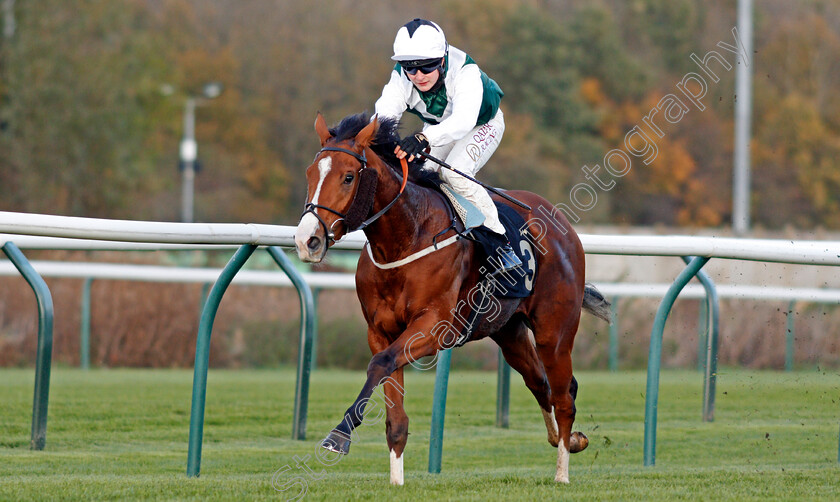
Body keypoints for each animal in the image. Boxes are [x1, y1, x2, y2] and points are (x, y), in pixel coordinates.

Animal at [296, 112, 612, 484]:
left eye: (347, 177)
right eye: (310, 174)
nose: (307, 241)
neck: (408, 234)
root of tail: (563, 224)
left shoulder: (434, 326)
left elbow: (381, 363)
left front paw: (339, 436)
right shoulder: (380, 331)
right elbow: (393, 408)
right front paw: (396, 481)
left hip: (555, 332)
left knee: (563, 397)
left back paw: (562, 472)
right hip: (509, 333)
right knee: (541, 384)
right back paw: (571, 441)